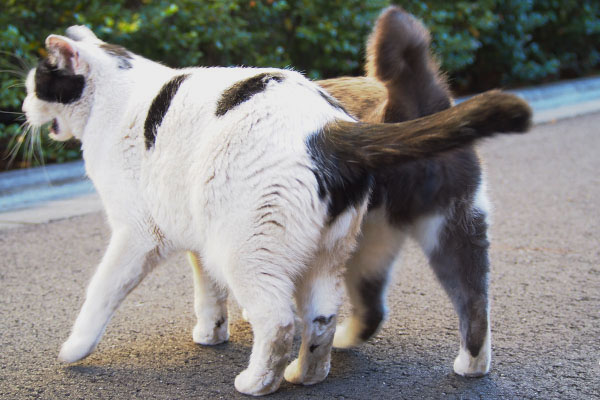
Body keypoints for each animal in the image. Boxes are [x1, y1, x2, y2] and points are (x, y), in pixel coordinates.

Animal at [22, 21, 528, 394]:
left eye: (36, 84)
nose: (23, 108)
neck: (116, 95)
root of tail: (332, 128)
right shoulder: (198, 239)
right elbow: (208, 292)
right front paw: (212, 332)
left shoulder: (137, 235)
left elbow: (102, 292)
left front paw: (75, 349)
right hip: (386, 243)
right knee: (342, 314)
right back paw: (311, 373)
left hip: (248, 249)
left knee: (282, 321)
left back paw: (257, 382)